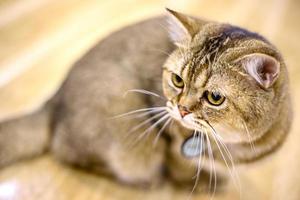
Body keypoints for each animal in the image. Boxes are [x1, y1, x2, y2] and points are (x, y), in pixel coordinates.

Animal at [0, 8, 292, 192]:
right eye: (177, 80)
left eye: (215, 97)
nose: (181, 109)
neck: (229, 143)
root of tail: (53, 101)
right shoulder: (171, 142)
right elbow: (181, 166)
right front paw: (194, 182)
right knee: (66, 152)